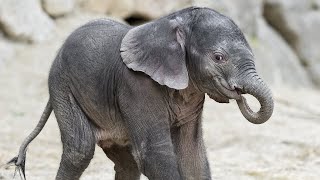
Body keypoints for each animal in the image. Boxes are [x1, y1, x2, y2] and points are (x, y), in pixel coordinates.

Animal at [8, 6, 274, 180]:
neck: (172, 22)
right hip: (61, 84)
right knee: (80, 150)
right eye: (219, 58)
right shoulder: (136, 84)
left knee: (126, 164)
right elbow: (153, 153)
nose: (239, 94)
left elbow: (191, 154)